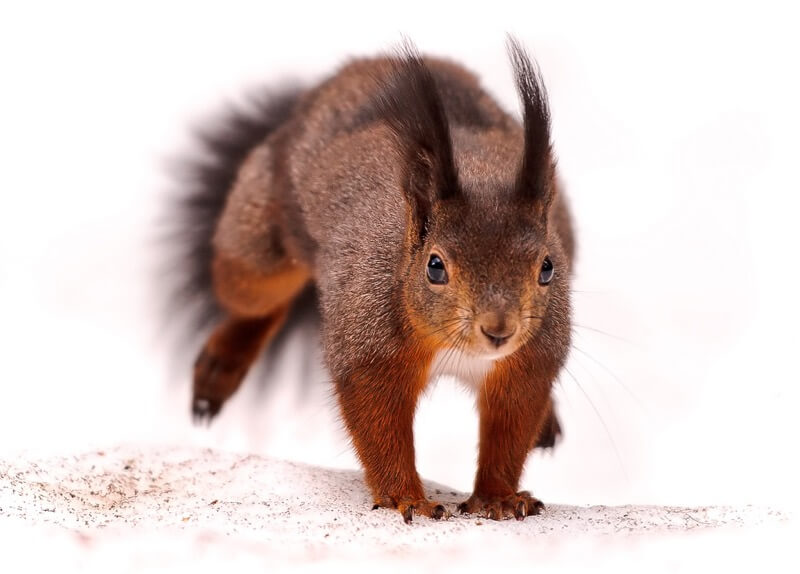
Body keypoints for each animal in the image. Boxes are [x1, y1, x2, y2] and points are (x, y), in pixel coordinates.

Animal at [165, 39, 574, 523]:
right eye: (435, 266)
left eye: (547, 267)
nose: (499, 330)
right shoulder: (367, 342)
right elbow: (379, 424)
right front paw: (407, 498)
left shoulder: (530, 359)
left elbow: (510, 428)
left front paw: (498, 497)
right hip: (257, 244)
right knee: (257, 300)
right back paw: (220, 367)